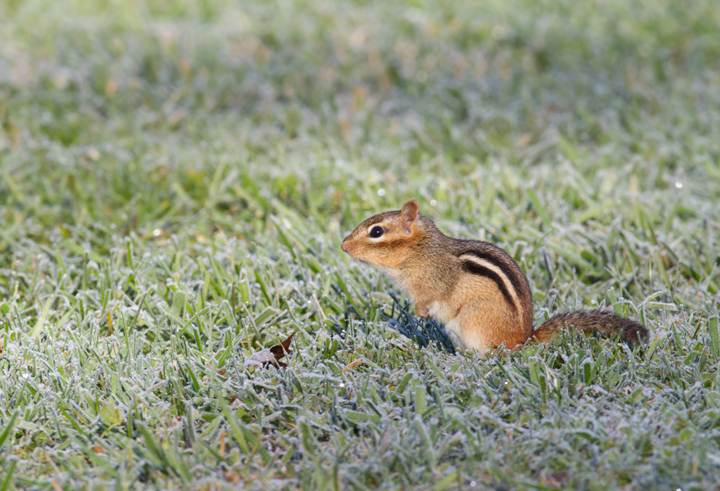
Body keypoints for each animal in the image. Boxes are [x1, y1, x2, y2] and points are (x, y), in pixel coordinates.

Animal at [341, 199, 649, 353]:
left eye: (376, 232)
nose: (343, 246)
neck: (420, 251)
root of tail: (525, 339)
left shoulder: (433, 283)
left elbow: (430, 300)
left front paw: (417, 314)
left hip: (472, 322)